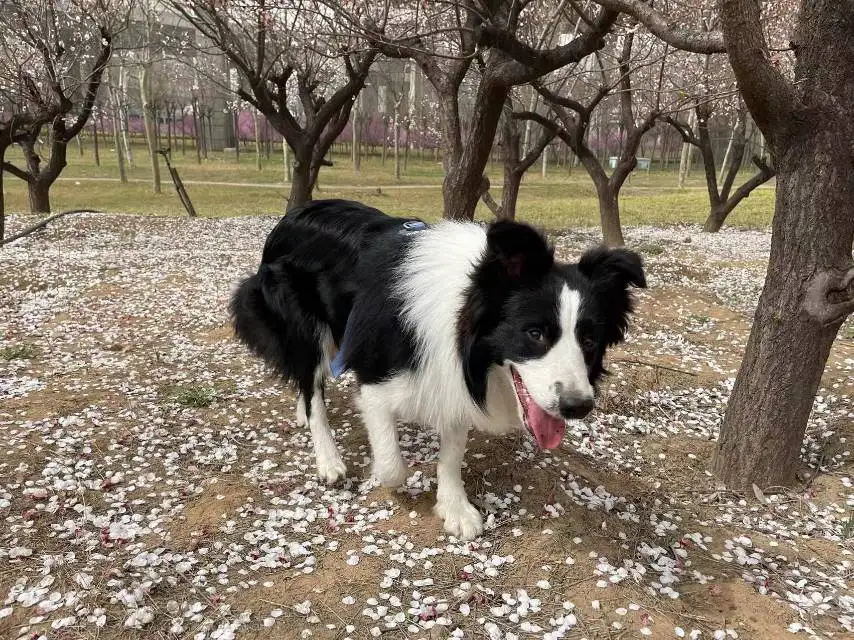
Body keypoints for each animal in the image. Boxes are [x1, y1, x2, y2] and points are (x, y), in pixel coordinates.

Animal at [231, 200, 644, 540]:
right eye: (535, 333)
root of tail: (292, 215)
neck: (463, 311)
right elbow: (392, 464)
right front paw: (383, 475)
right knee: (311, 383)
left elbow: (454, 448)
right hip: (304, 326)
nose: (578, 406)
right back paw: (328, 458)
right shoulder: (376, 375)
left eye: (589, 340)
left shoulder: (453, 376)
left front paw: (454, 508)